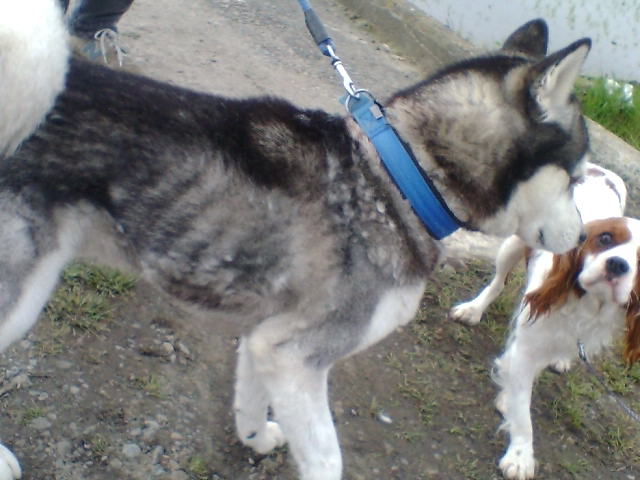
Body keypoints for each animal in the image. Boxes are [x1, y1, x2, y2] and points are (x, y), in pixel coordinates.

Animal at [0, 3, 592, 479]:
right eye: (579, 176)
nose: (585, 235)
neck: (402, 178)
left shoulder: (266, 339)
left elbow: (249, 402)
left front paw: (257, 437)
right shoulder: (298, 355)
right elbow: (327, 458)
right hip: (19, 299)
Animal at [449, 164, 640, 479]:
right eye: (605, 239)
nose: (617, 264)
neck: (585, 302)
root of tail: (598, 168)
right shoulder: (529, 341)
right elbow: (523, 410)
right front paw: (521, 455)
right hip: (513, 245)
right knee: (497, 283)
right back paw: (473, 309)